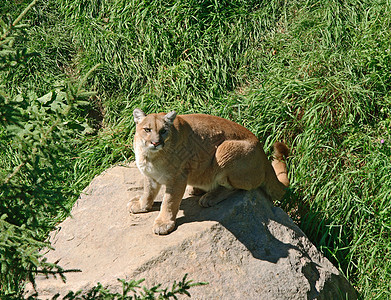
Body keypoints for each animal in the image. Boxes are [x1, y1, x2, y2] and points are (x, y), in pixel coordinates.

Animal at [127, 109, 290, 236]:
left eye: (163, 131)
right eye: (147, 130)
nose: (155, 142)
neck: (150, 156)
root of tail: (263, 154)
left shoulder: (177, 178)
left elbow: (169, 202)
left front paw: (163, 223)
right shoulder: (150, 176)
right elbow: (148, 192)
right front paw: (141, 206)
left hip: (223, 151)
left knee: (239, 188)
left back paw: (209, 196)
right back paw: (197, 189)